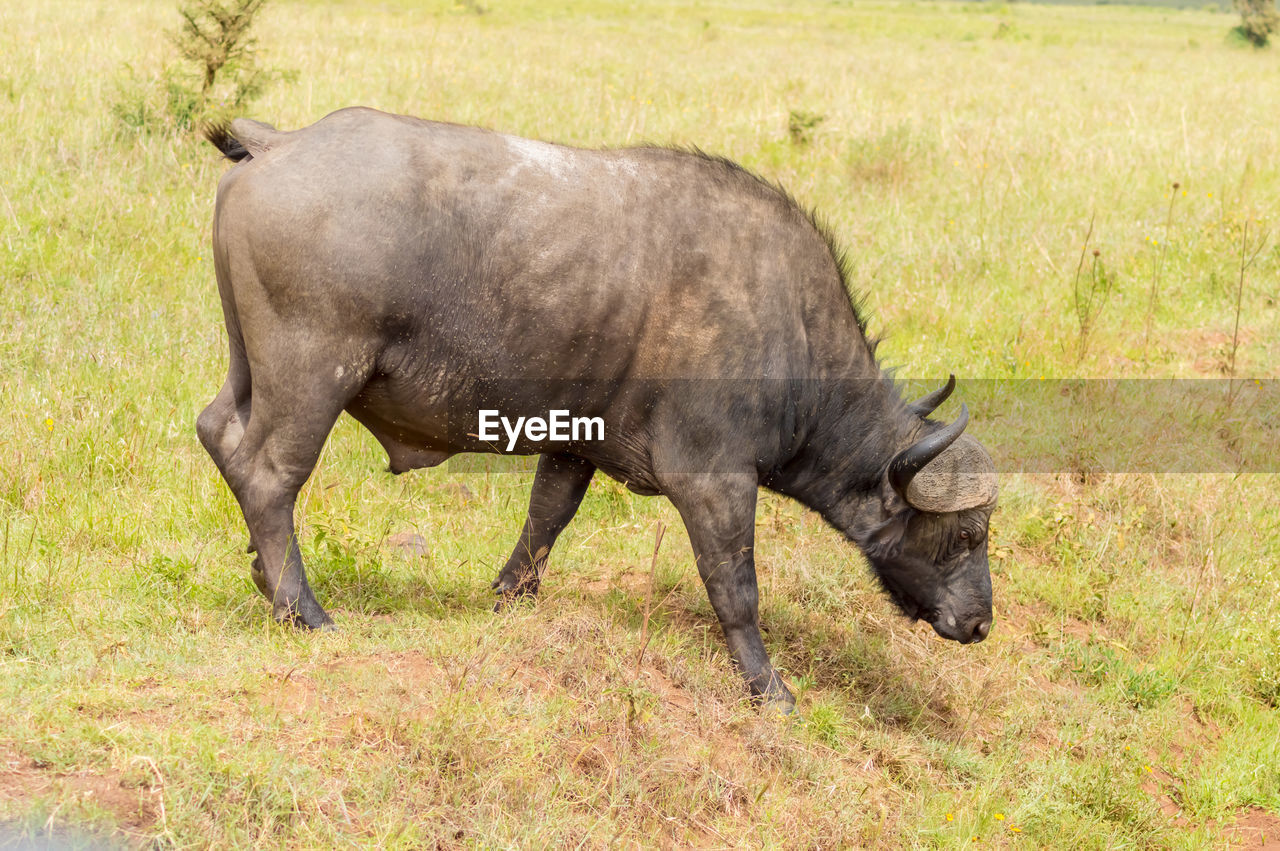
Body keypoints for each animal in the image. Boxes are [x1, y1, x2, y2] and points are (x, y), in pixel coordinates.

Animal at [202, 109, 998, 711]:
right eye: (965, 535)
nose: (980, 622)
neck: (790, 326)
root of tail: (279, 142)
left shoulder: (575, 443)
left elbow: (545, 520)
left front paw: (508, 598)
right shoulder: (715, 480)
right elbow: (735, 585)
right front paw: (769, 688)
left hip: (251, 366)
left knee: (219, 431)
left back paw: (265, 575)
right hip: (313, 373)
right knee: (268, 473)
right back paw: (302, 608)